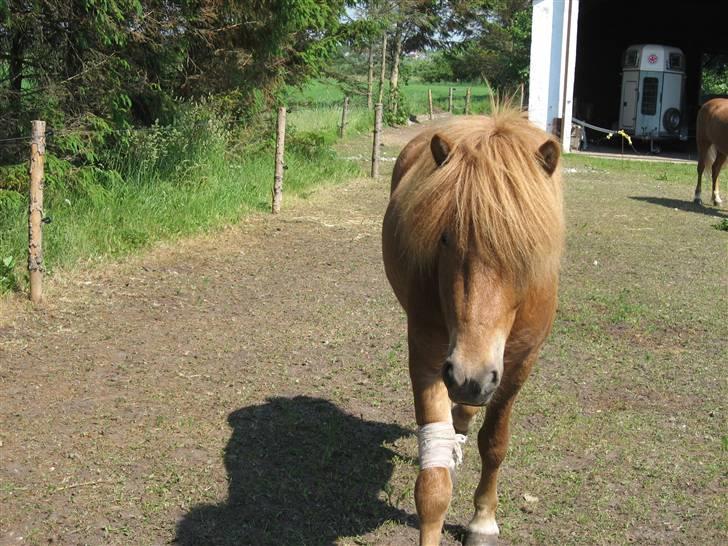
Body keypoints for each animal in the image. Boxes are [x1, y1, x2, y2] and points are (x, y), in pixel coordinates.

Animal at [382, 111, 564, 544]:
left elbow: (494, 443)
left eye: (526, 248)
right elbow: (432, 485)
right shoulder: (428, 357)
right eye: (445, 238)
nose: (469, 375)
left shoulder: (519, 363)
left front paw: (483, 519)